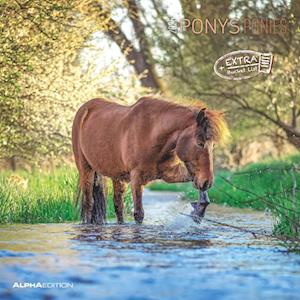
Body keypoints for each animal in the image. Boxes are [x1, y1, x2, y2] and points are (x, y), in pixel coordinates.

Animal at [71, 97, 229, 224]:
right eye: (200, 143)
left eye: (213, 145)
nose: (207, 181)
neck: (151, 132)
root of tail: (84, 109)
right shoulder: (137, 178)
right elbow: (139, 214)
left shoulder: (169, 174)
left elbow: (194, 181)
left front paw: (199, 211)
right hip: (86, 170)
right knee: (89, 204)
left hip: (117, 176)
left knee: (118, 205)